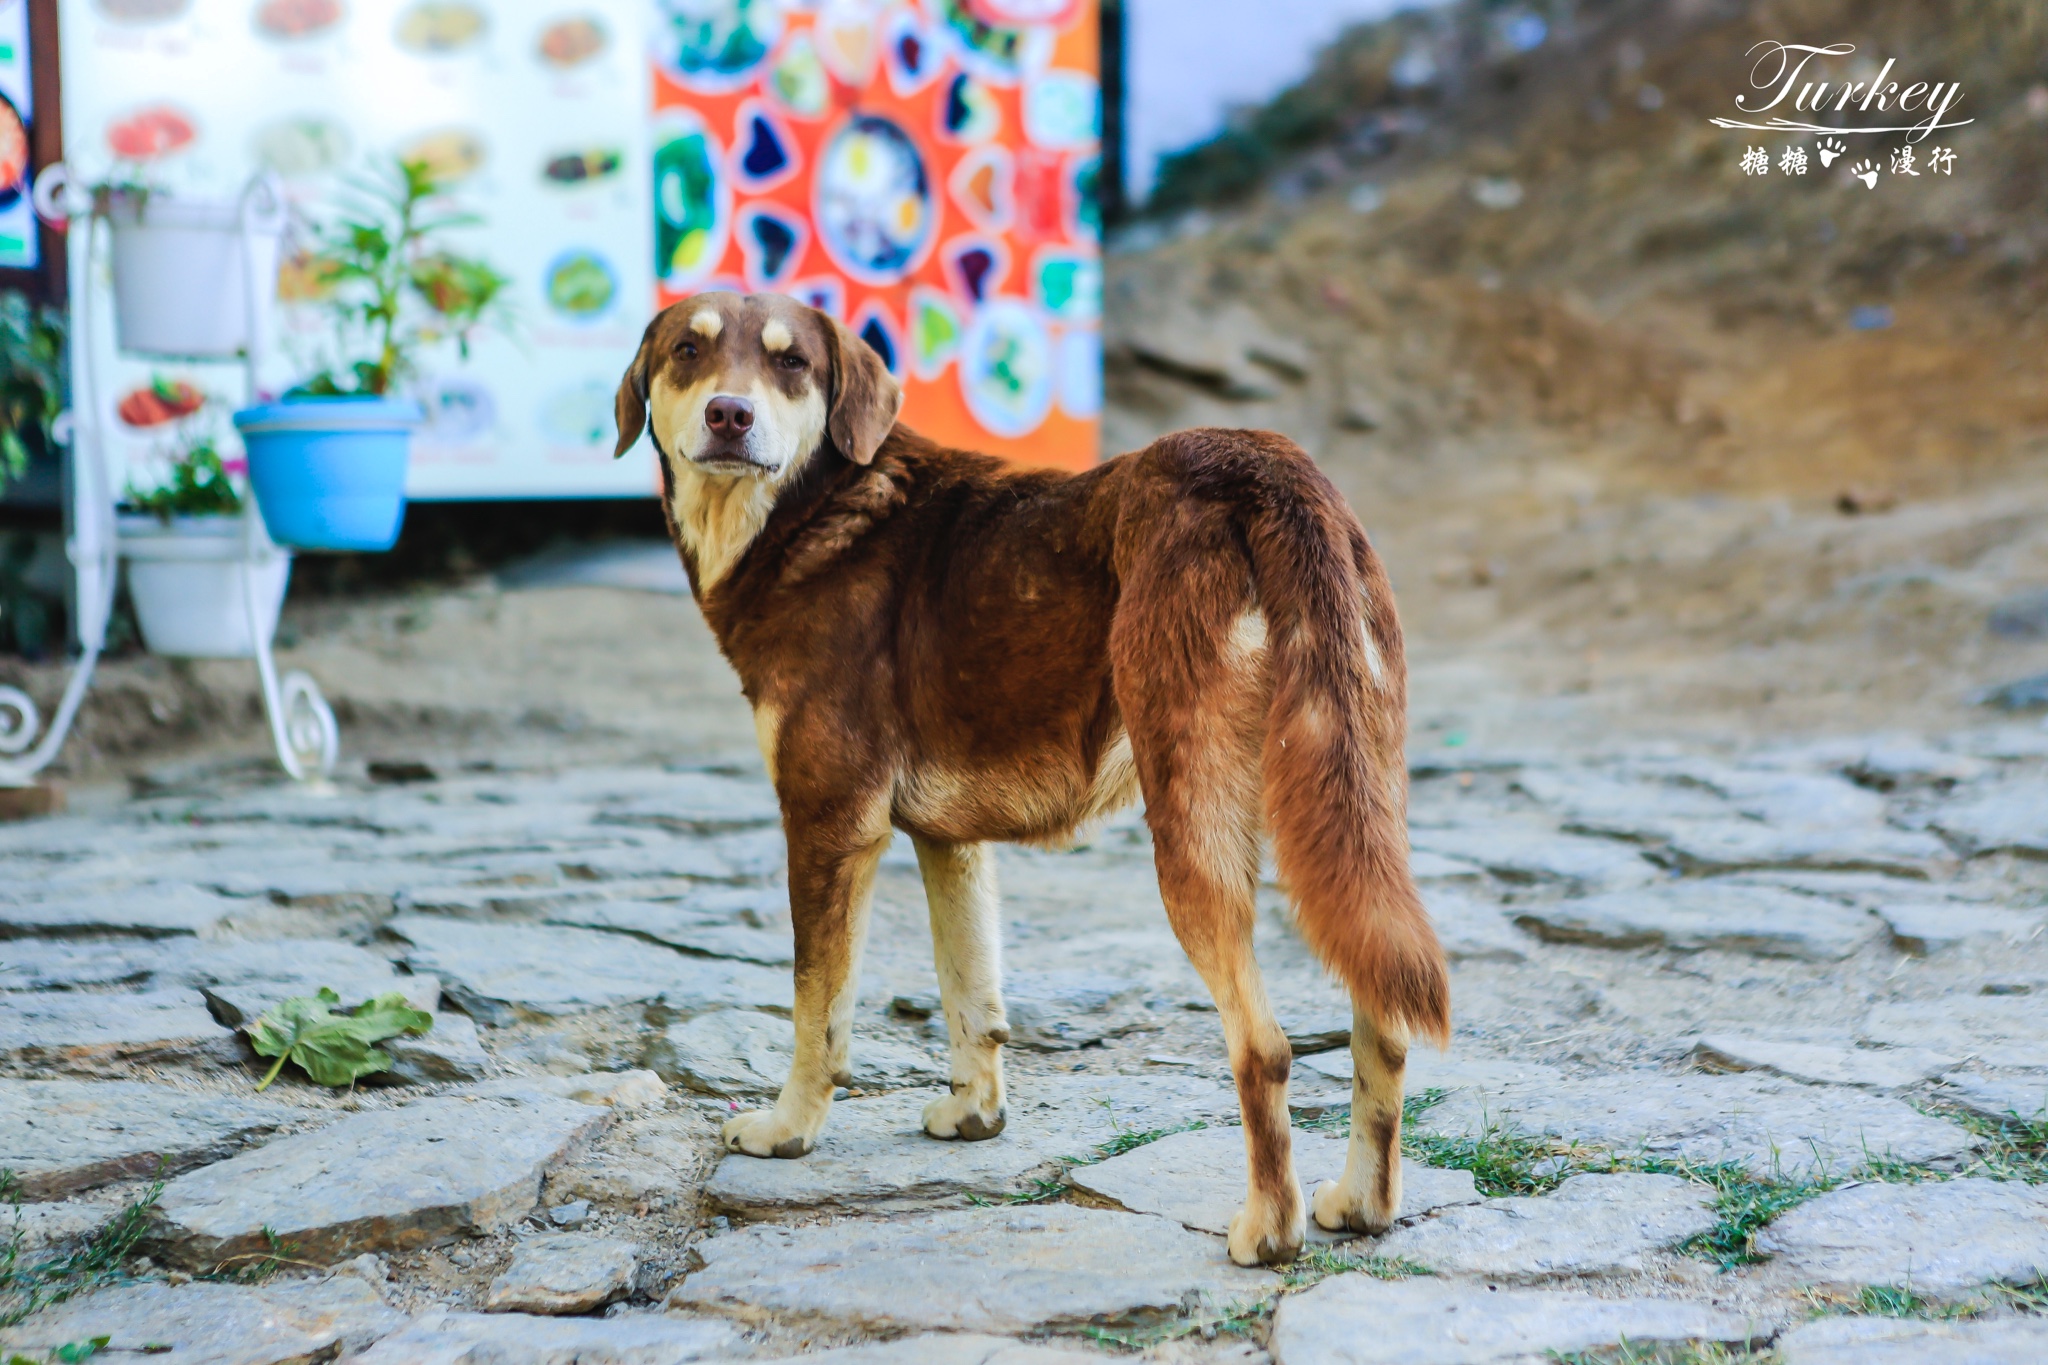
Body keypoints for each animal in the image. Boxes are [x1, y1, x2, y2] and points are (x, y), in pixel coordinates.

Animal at [614, 290, 1449, 1268]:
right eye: (688, 350)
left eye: (791, 364)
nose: (729, 415)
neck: (817, 511)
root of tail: (1264, 468)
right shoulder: (950, 842)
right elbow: (971, 993)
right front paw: (976, 1115)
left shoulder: (828, 826)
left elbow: (817, 1009)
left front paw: (787, 1129)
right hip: (1351, 810)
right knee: (1381, 1019)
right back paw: (1362, 1204)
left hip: (1194, 833)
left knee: (1268, 1048)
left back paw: (1265, 1232)